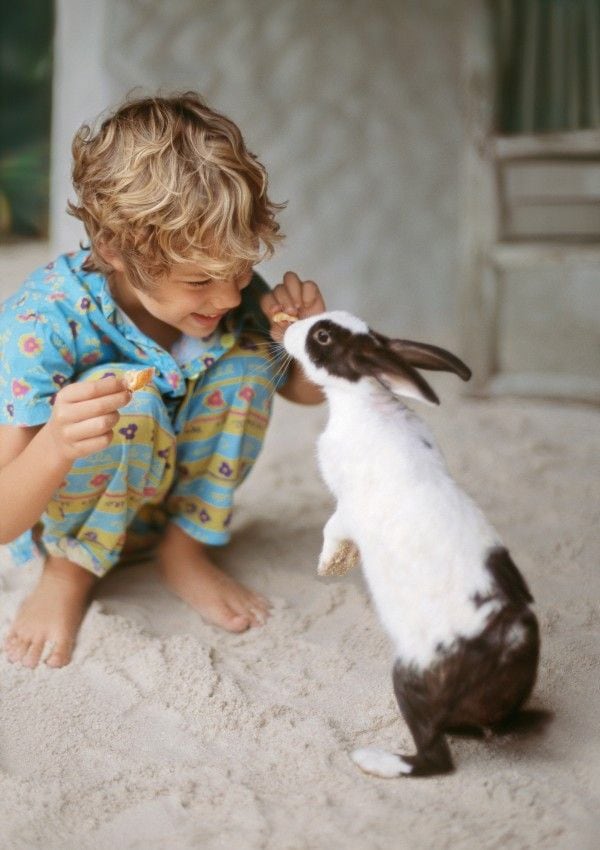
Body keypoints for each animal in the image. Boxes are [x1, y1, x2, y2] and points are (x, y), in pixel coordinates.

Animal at [284, 310, 540, 776]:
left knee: (435, 758)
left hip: (409, 678)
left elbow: (332, 529)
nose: (289, 328)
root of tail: (507, 648)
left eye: (323, 336)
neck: (363, 401)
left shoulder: (348, 508)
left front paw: (329, 565)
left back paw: (372, 760)